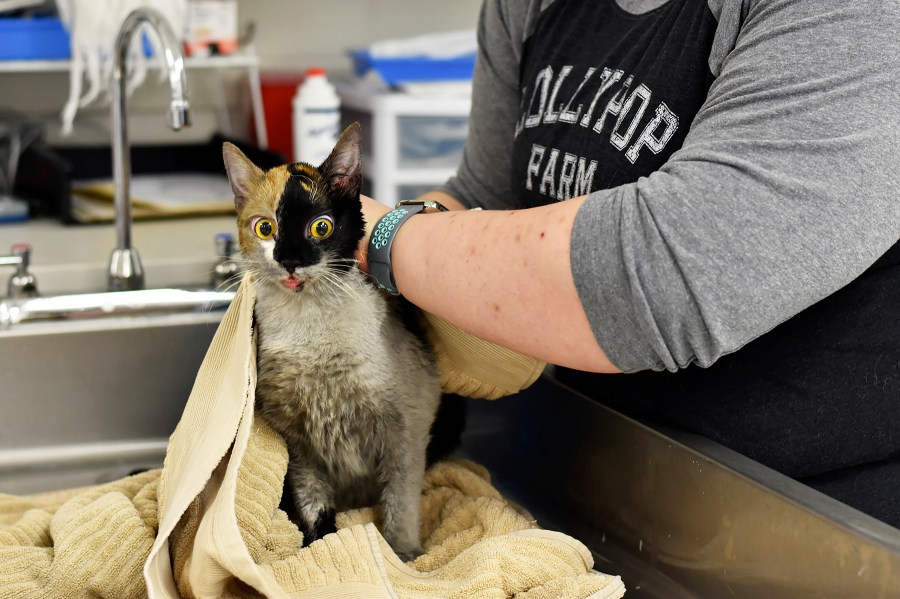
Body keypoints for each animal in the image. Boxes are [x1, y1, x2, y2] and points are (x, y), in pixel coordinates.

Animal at [220, 123, 442, 564]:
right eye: (264, 228)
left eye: (320, 227)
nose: (290, 260)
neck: (312, 341)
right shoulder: (298, 444)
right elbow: (314, 508)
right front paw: (318, 546)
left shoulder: (407, 427)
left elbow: (401, 501)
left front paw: (404, 556)